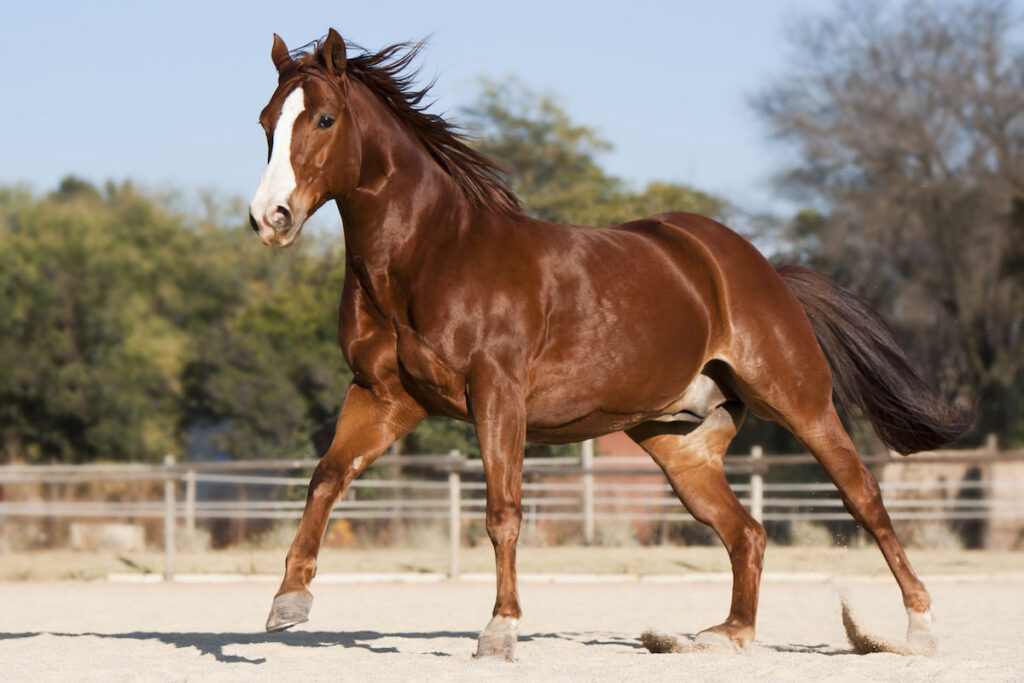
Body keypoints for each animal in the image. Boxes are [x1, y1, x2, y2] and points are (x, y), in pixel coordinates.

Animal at [249, 29, 974, 659]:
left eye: (324, 119)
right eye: (265, 122)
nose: (269, 218)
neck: (431, 255)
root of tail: (758, 269)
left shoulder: (496, 396)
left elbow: (502, 511)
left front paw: (500, 631)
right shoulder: (384, 397)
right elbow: (326, 477)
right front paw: (288, 601)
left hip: (800, 401)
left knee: (863, 497)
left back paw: (918, 629)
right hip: (679, 447)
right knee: (747, 532)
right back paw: (727, 636)